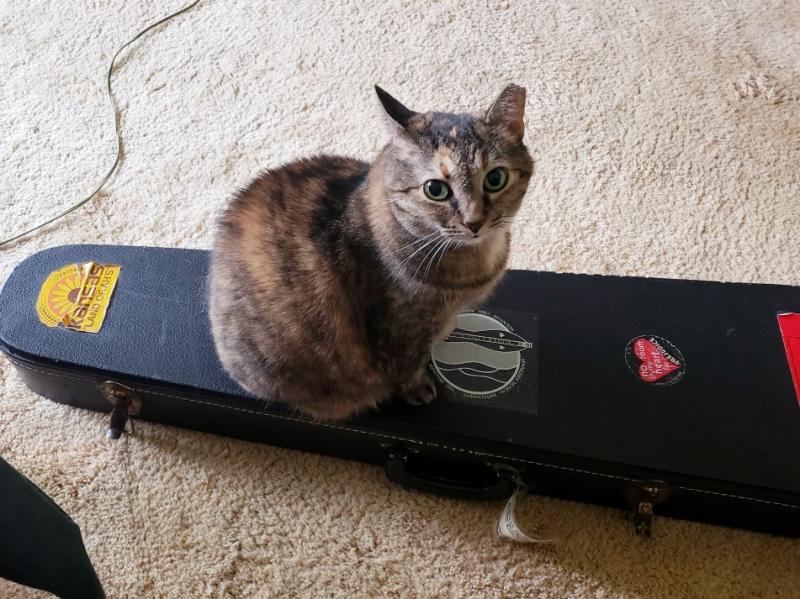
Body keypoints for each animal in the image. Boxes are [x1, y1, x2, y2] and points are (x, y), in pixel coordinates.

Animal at [208, 84, 533, 421]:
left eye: (495, 179)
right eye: (435, 189)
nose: (474, 222)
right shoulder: (397, 330)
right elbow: (405, 367)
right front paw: (418, 389)